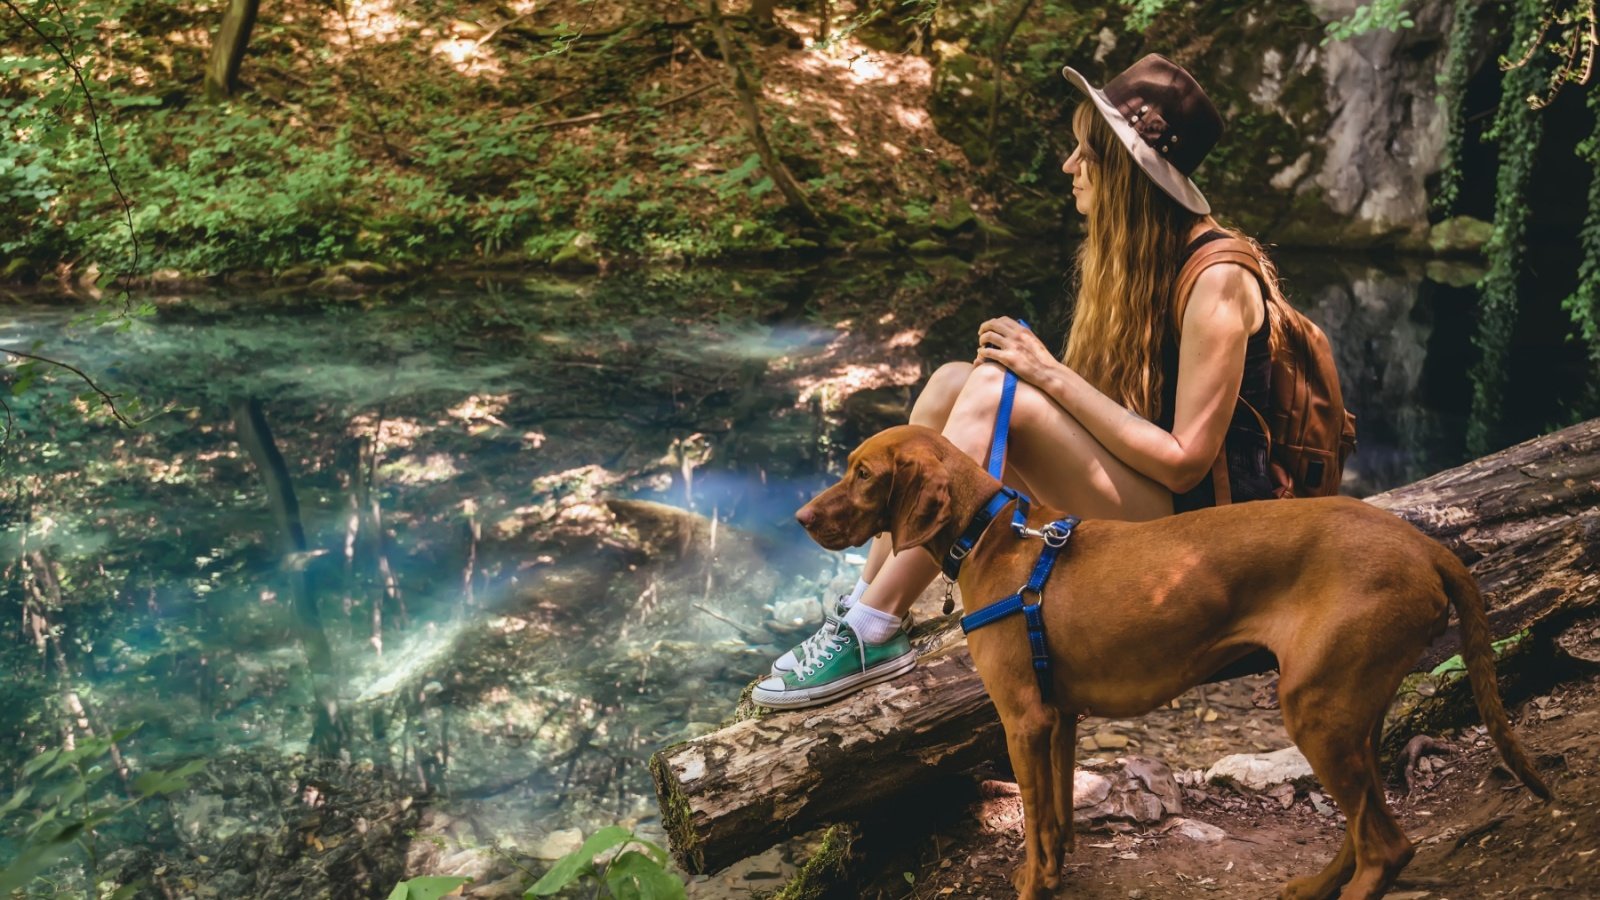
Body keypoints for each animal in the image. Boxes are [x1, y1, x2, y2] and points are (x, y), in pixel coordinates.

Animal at [796, 422, 1548, 896]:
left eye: (862, 474)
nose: (801, 519)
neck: (991, 535)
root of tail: (1424, 544)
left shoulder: (1024, 719)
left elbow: (1033, 821)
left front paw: (1032, 884)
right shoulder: (1058, 716)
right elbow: (1058, 815)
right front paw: (1056, 874)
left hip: (1315, 708)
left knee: (1388, 846)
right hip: (1348, 707)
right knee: (1369, 826)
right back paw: (1314, 885)